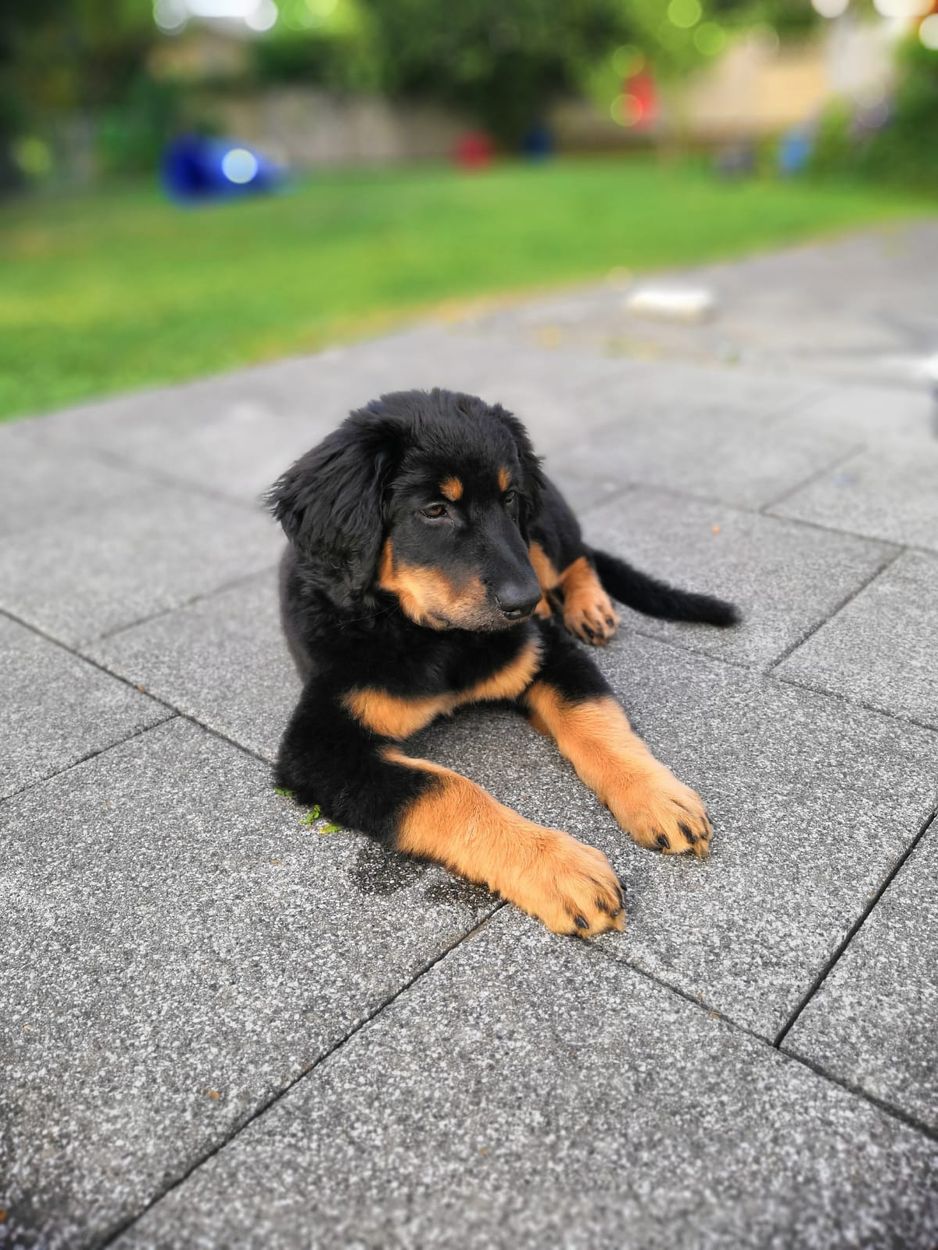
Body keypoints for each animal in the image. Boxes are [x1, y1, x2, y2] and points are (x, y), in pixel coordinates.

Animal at [267, 388, 737, 936]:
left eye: (508, 498)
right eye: (435, 509)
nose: (527, 603)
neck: (432, 636)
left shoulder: (546, 650)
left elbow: (595, 721)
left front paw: (657, 796)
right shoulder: (321, 745)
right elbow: (447, 789)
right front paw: (559, 867)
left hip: (543, 531)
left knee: (579, 556)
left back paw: (588, 607)